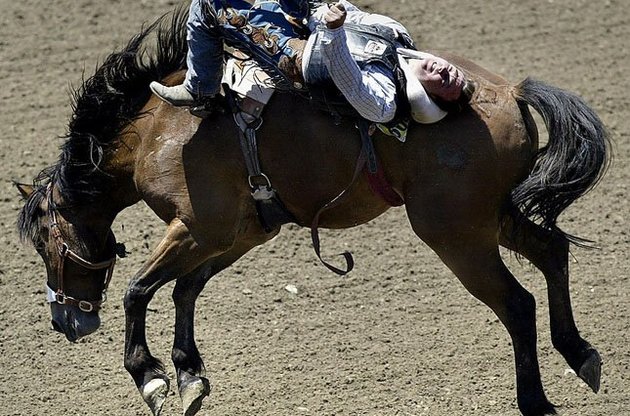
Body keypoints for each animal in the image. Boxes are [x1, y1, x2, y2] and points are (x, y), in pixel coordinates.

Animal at [16, 10, 610, 416]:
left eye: (45, 241)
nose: (64, 320)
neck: (157, 129)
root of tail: (510, 91)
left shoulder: (197, 227)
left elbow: (140, 289)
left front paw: (152, 378)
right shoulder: (236, 234)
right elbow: (186, 290)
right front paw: (189, 375)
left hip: (457, 234)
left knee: (517, 303)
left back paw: (536, 401)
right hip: (492, 217)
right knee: (553, 253)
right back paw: (580, 354)